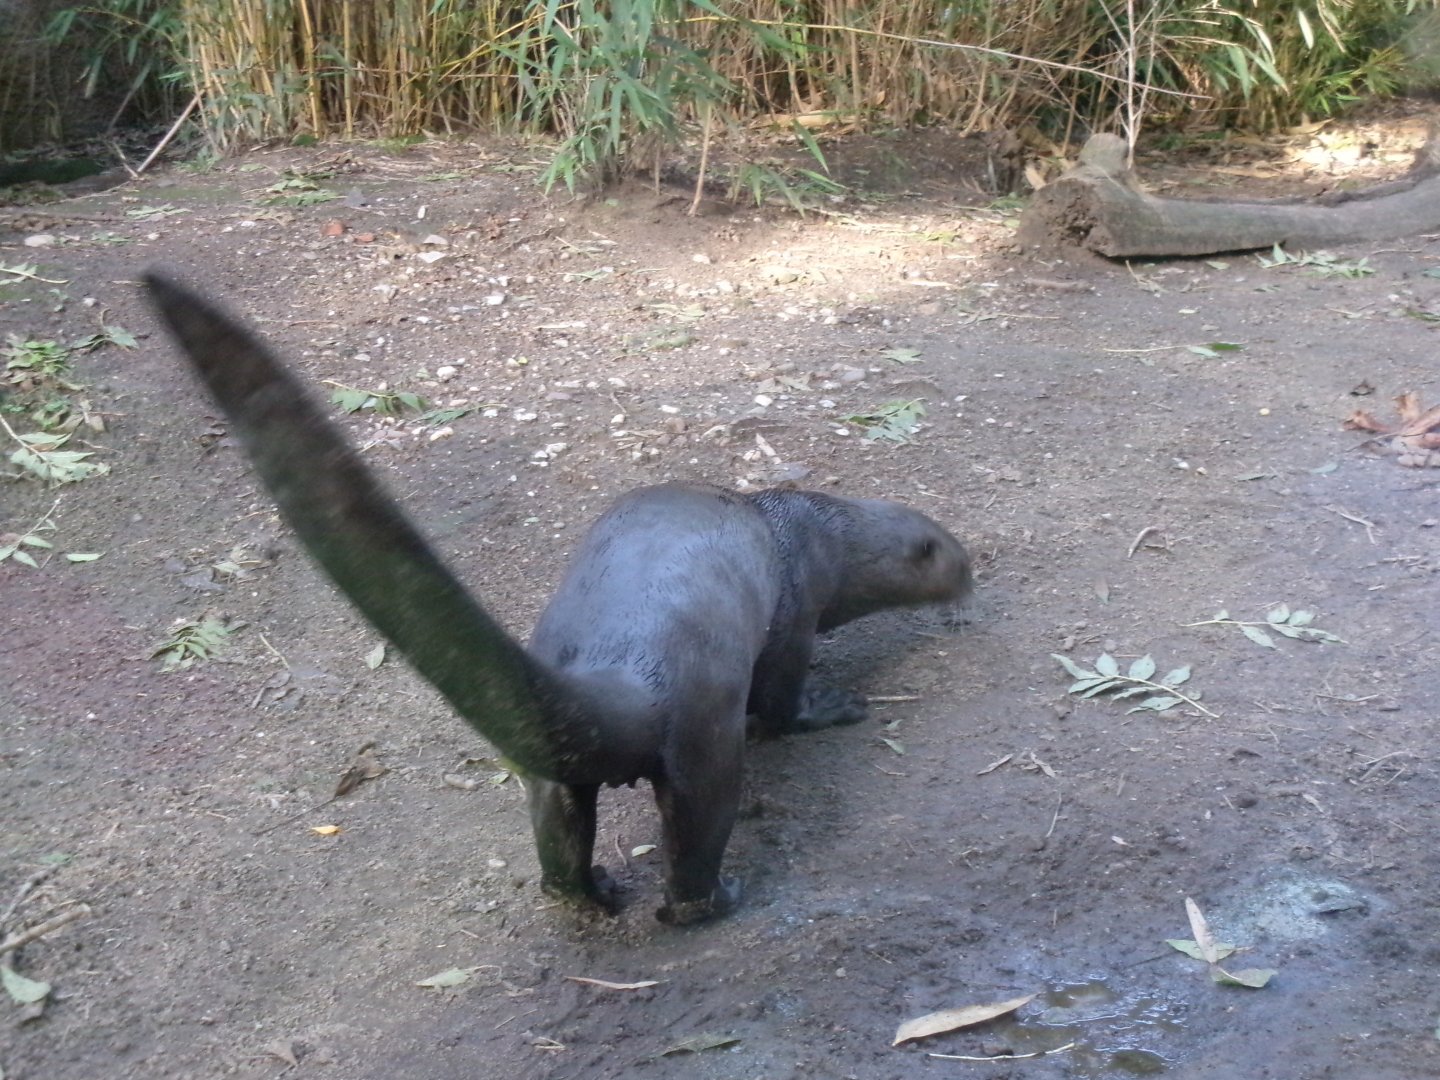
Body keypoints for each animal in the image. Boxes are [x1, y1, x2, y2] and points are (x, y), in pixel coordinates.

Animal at [143, 271, 972, 924]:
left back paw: (594, 890)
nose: (973, 580)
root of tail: (627, 668)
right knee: (695, 848)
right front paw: (829, 706)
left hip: (552, 771)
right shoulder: (793, 614)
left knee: (557, 834)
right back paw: (715, 898)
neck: (802, 532)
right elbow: (781, 703)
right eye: (957, 553)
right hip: (703, 733)